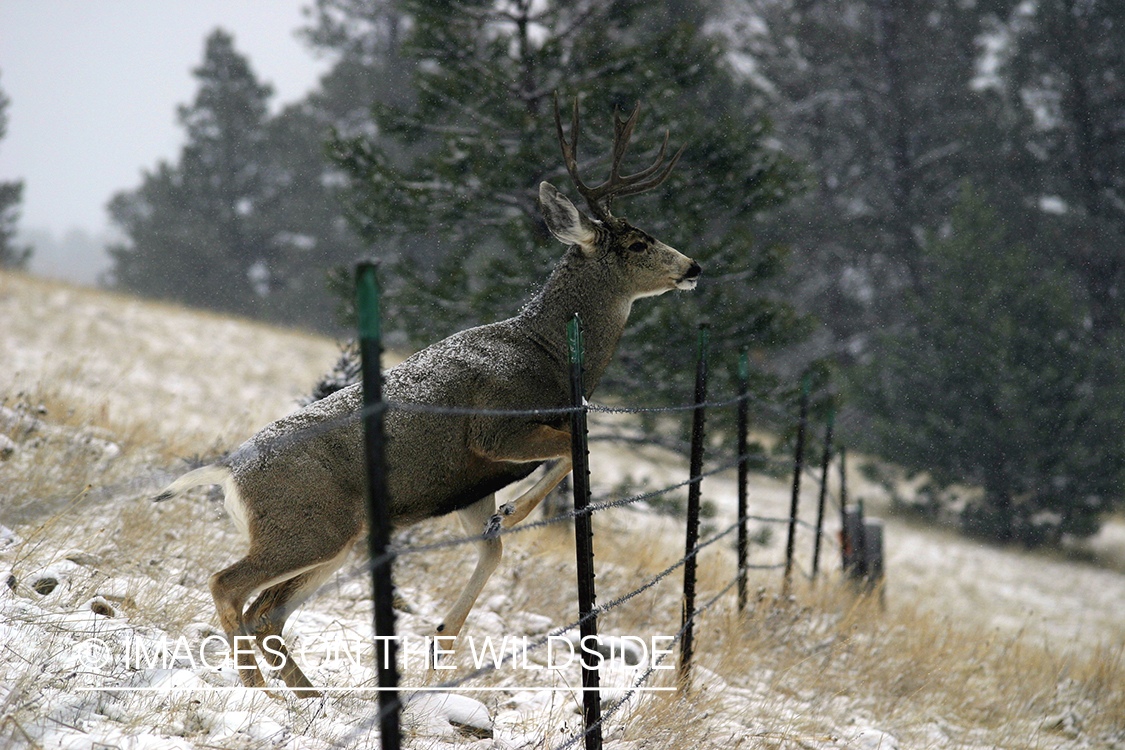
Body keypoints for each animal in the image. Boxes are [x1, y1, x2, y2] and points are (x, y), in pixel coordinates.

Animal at [154, 93, 701, 697]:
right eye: (638, 241)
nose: (693, 267)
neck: (549, 353)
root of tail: (230, 469)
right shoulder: (495, 429)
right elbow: (574, 445)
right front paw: (515, 511)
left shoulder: (470, 486)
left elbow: (492, 546)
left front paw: (443, 638)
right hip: (306, 527)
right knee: (228, 585)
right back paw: (257, 690)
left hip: (334, 538)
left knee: (266, 610)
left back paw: (310, 697)